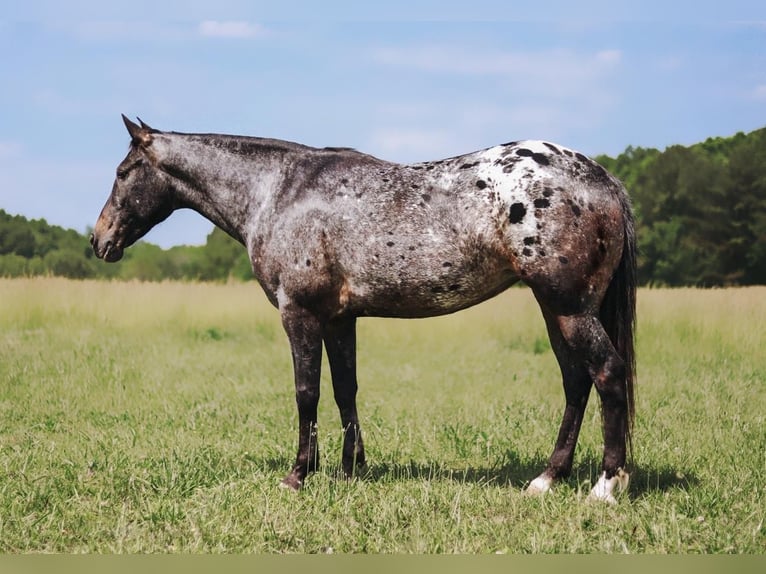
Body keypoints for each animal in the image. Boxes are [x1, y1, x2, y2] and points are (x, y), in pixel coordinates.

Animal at [93, 116, 640, 504]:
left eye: (122, 174)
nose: (99, 240)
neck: (279, 191)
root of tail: (602, 178)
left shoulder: (300, 314)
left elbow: (307, 393)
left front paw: (299, 475)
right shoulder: (340, 318)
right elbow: (345, 389)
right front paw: (351, 468)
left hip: (569, 307)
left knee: (608, 374)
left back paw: (605, 487)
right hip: (555, 309)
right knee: (576, 383)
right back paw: (546, 479)